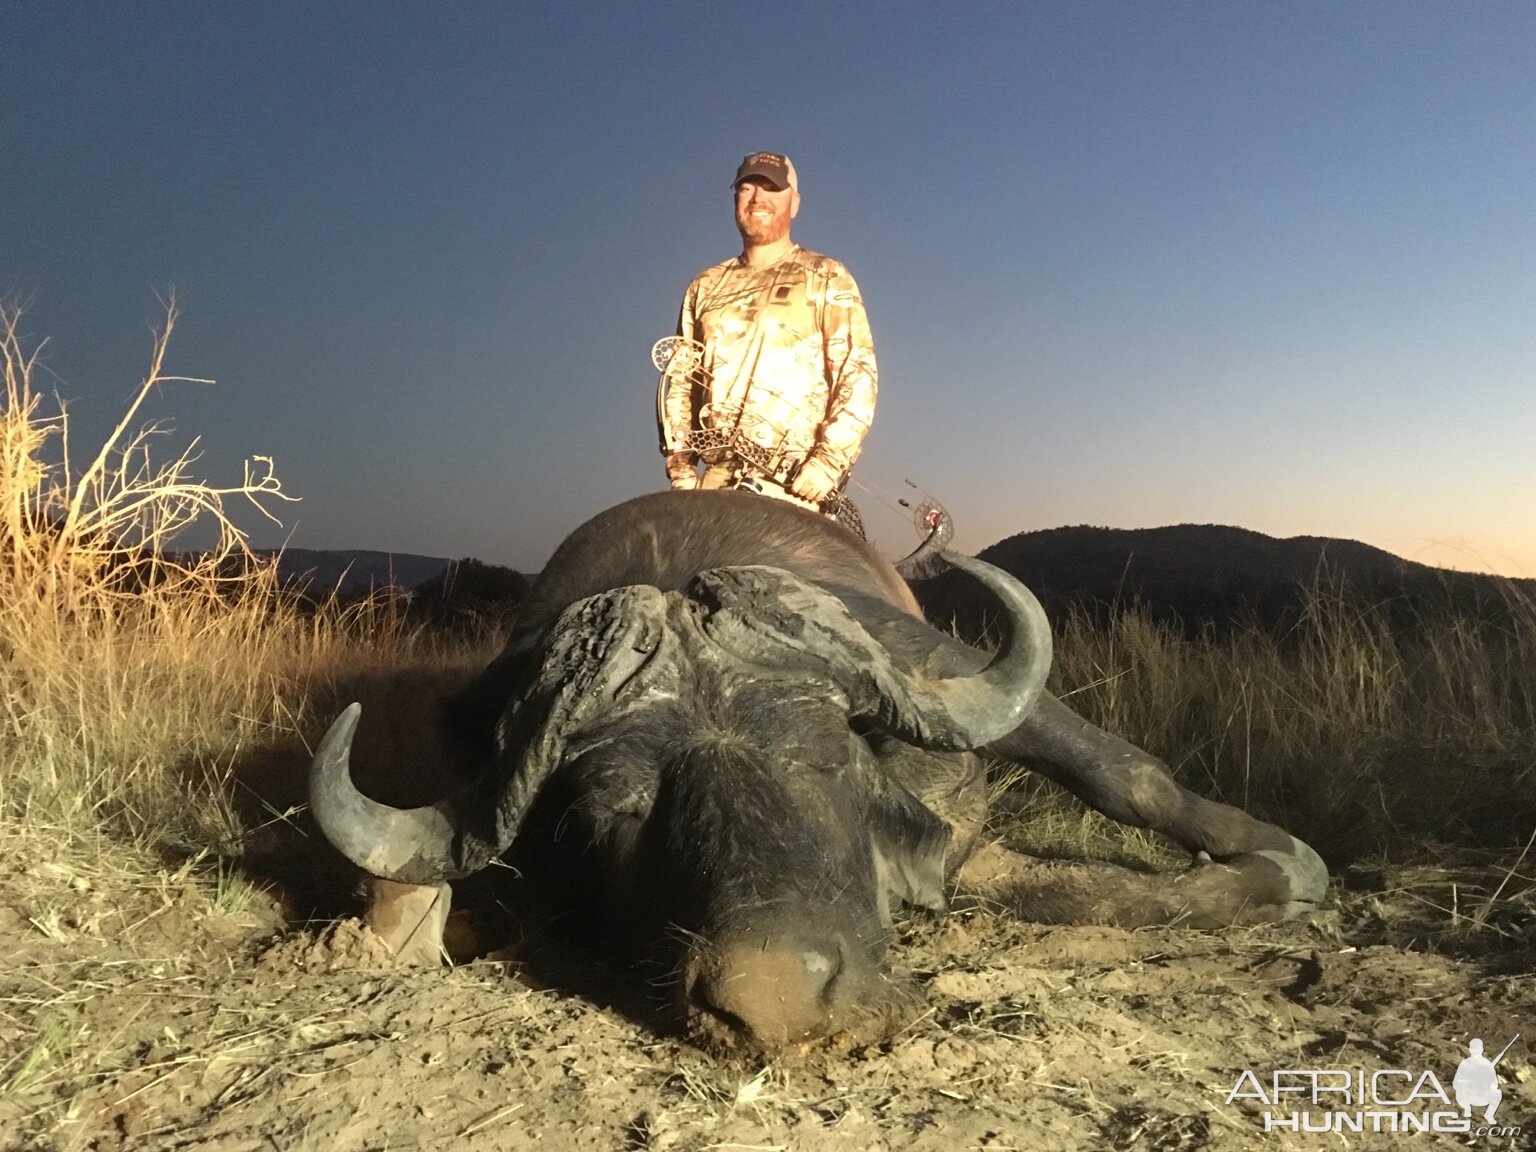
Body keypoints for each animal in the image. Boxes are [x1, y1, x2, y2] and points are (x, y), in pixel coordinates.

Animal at [305, 488, 1327, 1056]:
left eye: (827, 757)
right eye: (611, 808)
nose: (781, 1004)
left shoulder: (946, 677)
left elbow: (1123, 782)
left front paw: (1285, 866)